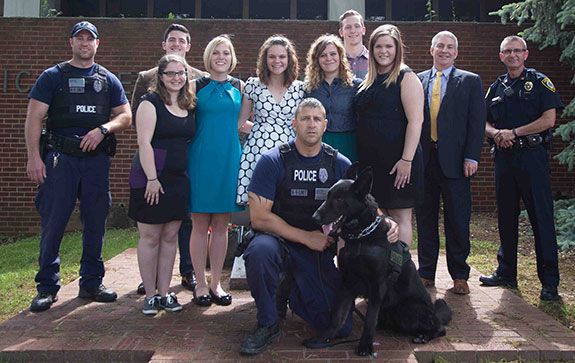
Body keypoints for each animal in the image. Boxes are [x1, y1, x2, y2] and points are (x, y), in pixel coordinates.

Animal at [304, 164, 452, 356]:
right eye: (327, 195)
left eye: (339, 199)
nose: (314, 218)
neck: (361, 236)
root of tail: (433, 312)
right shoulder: (346, 282)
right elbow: (337, 316)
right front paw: (323, 338)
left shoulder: (377, 285)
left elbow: (369, 319)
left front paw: (365, 346)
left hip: (408, 310)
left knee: (439, 328)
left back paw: (423, 336)